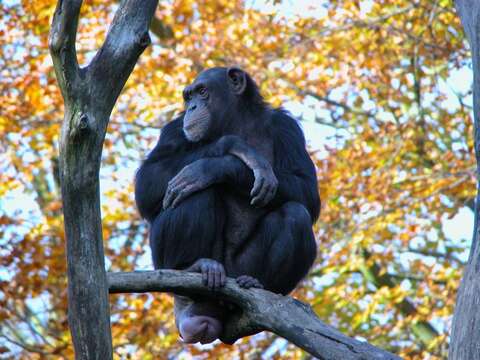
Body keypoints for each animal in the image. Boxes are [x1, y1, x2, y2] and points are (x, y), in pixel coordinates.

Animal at [135, 66, 320, 344]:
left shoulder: (287, 127)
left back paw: (254, 285)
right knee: (193, 190)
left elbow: (307, 189)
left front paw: (219, 166)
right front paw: (231, 148)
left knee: (295, 213)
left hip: (240, 270)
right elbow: (147, 181)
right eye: (188, 97)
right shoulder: (174, 129)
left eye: (202, 91)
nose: (192, 107)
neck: (236, 121)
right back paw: (193, 267)